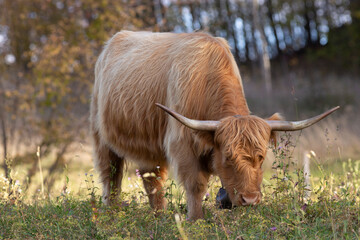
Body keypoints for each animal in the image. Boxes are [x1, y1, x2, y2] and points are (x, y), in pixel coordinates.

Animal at [90, 31, 340, 220]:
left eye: (261, 157)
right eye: (228, 156)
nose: (250, 200)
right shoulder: (182, 144)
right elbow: (196, 185)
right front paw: (195, 220)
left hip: (148, 148)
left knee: (151, 179)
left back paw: (158, 214)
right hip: (101, 139)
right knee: (111, 176)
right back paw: (111, 212)